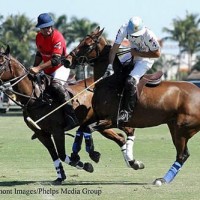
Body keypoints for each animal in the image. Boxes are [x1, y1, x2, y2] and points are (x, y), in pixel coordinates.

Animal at [0, 45, 144, 184]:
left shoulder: (57, 130)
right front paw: (60, 176)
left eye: (1, 63)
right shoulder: (42, 134)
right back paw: (132, 162)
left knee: (129, 129)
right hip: (100, 123)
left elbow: (62, 154)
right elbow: (55, 155)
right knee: (120, 138)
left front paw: (86, 165)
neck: (35, 98)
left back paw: (133, 161)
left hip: (110, 117)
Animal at [67, 26, 200, 186]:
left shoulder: (112, 120)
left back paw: (162, 180)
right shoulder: (98, 116)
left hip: (182, 128)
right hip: (174, 126)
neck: (109, 81)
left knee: (182, 155)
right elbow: (82, 128)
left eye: (87, 45)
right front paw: (75, 156)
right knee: (183, 154)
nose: (66, 60)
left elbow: (88, 129)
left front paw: (93, 154)